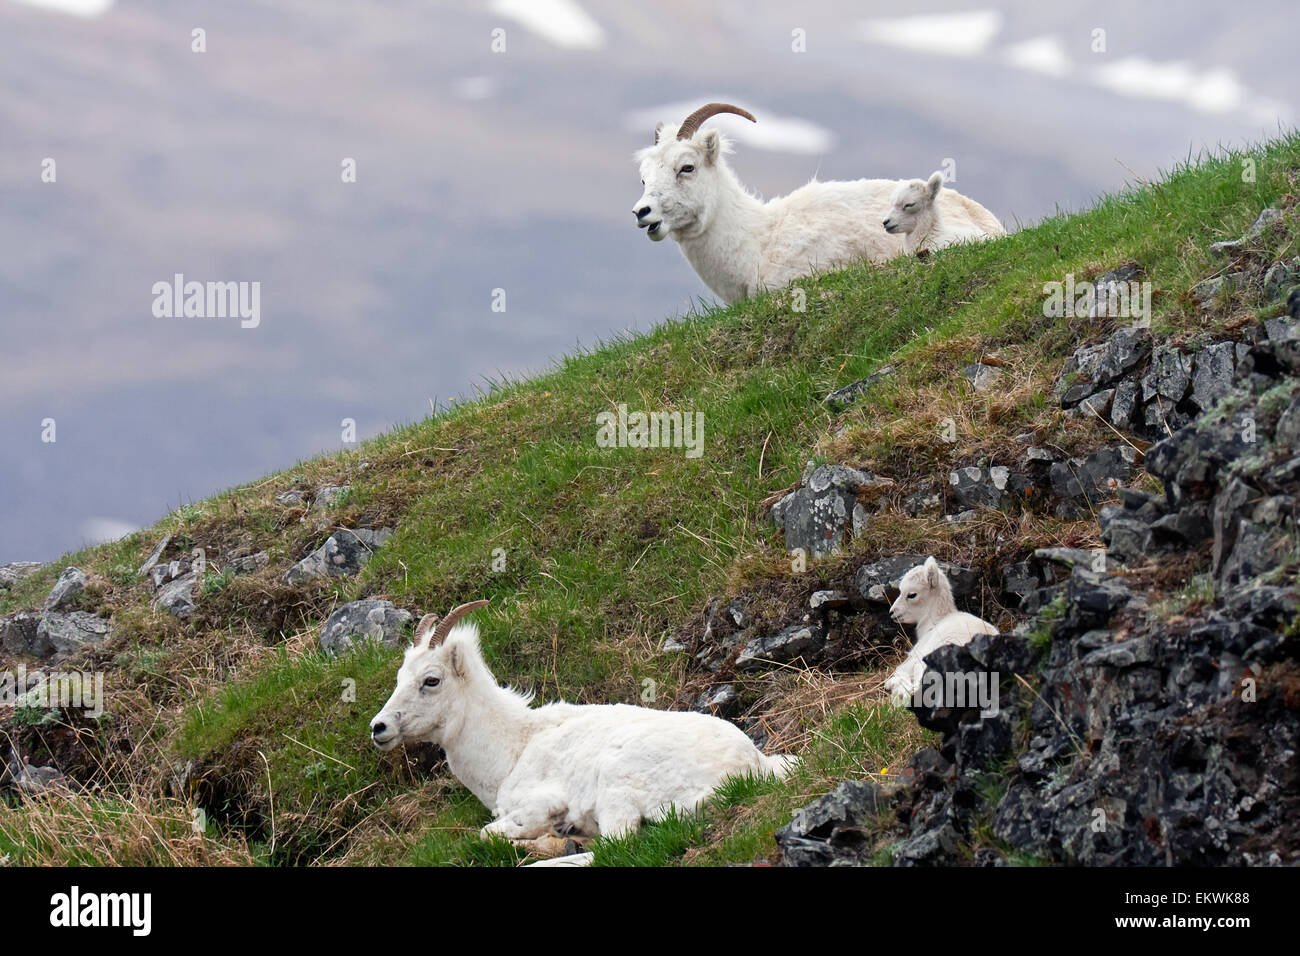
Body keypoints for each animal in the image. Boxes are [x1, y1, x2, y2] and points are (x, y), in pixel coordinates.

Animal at [370, 601, 797, 840]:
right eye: (400, 676)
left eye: (431, 680)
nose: (379, 728)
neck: (513, 749)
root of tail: (750, 768)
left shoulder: (540, 801)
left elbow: (487, 834)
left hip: (616, 788)